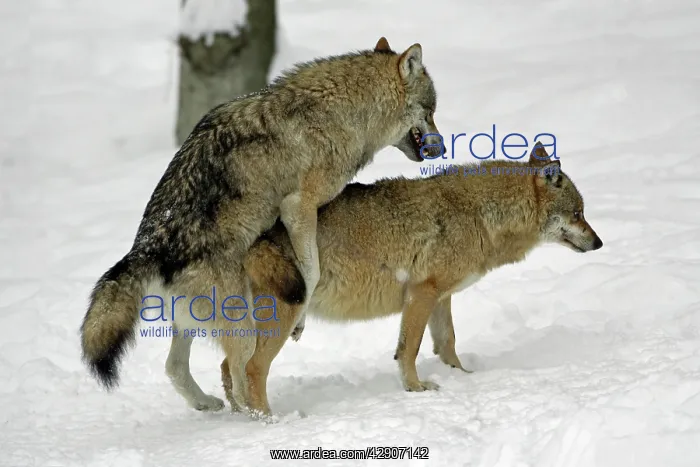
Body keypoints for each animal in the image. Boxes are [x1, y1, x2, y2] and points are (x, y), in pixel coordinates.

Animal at [79, 37, 444, 413]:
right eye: (431, 111)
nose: (440, 147)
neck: (345, 110)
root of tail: (148, 249)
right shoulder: (299, 207)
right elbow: (310, 273)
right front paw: (300, 322)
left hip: (194, 321)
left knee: (176, 368)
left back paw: (207, 404)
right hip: (241, 325)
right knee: (243, 376)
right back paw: (267, 420)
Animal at [218, 144, 603, 415]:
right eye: (578, 214)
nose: (599, 243)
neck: (481, 215)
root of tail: (250, 240)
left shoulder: (442, 297)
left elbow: (447, 343)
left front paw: (463, 377)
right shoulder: (422, 292)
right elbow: (410, 349)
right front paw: (416, 389)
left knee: (227, 368)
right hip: (285, 317)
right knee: (252, 369)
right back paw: (269, 420)